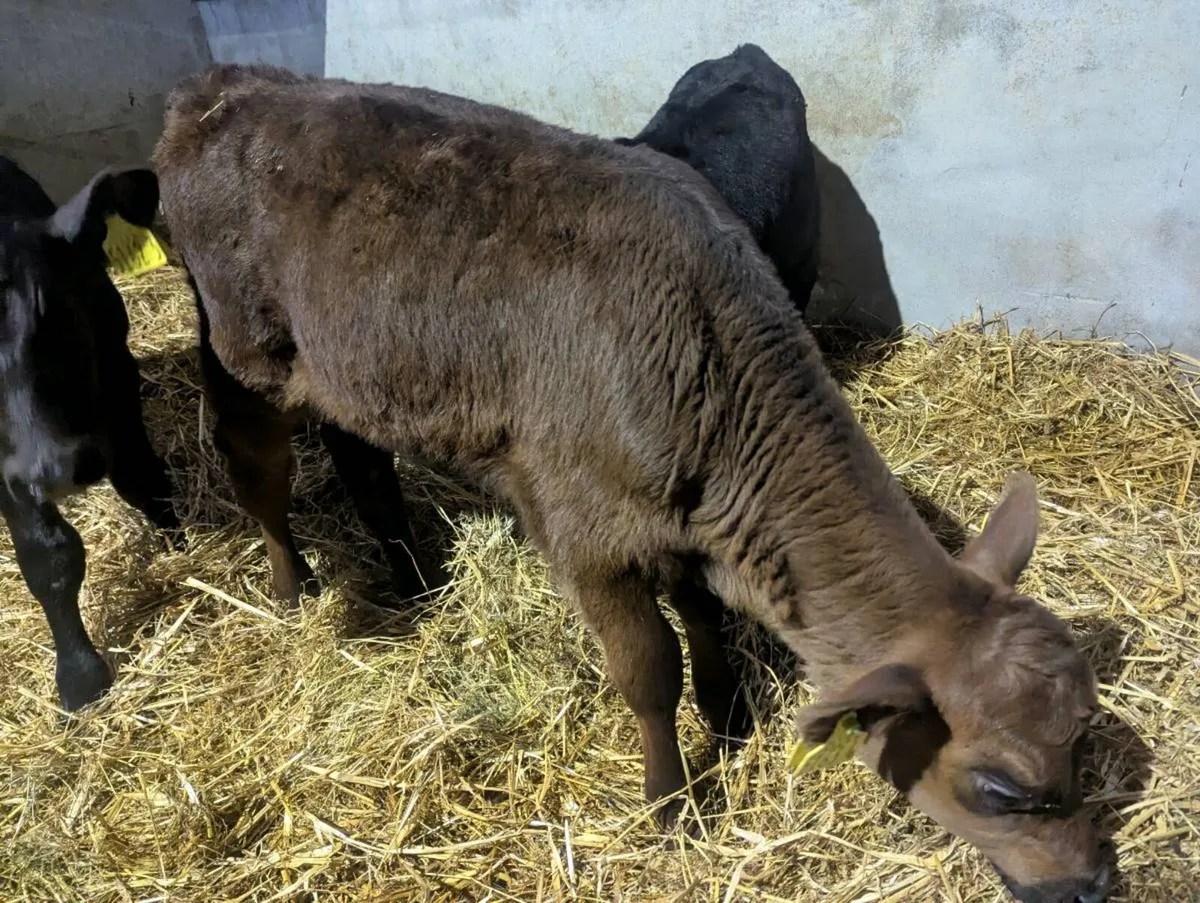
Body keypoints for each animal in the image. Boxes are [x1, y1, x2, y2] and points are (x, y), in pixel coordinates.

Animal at [0, 155, 180, 711]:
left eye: (68, 320)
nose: (56, 468)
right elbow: (48, 556)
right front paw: (80, 678)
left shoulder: (118, 374)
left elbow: (145, 479)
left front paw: (177, 543)